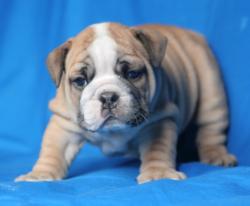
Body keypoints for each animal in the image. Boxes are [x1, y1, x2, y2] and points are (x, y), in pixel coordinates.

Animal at [15, 22, 236, 183]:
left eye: (132, 74)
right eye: (80, 81)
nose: (107, 96)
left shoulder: (159, 120)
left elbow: (158, 149)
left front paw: (158, 174)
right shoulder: (64, 123)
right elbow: (53, 151)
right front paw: (40, 175)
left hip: (211, 88)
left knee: (211, 129)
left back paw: (217, 156)